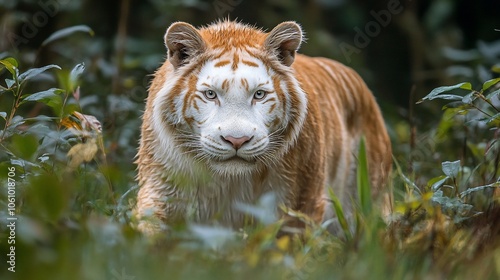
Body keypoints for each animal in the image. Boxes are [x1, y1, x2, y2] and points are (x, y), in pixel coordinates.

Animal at [135, 19, 392, 234]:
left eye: (259, 95)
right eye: (210, 95)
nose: (236, 140)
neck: (230, 180)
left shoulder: (302, 204)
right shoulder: (161, 192)